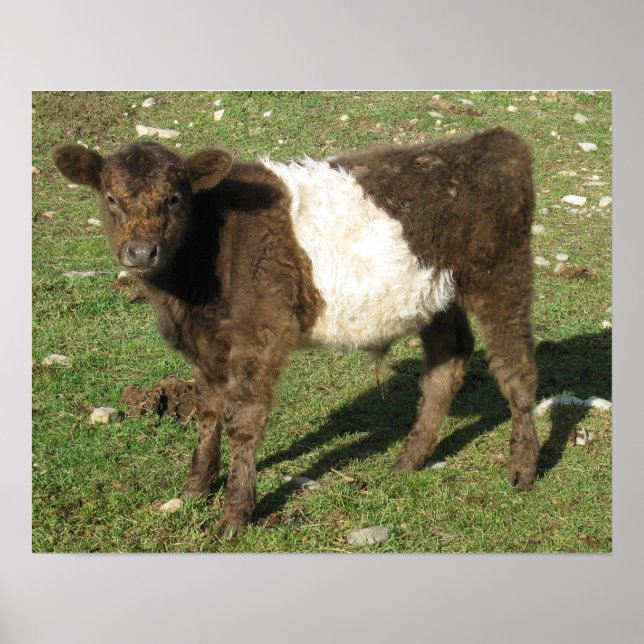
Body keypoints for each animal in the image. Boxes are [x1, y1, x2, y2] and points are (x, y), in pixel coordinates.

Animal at [53, 126, 539, 538]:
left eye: (174, 198)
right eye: (111, 198)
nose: (140, 252)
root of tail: (493, 140)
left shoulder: (264, 332)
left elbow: (243, 421)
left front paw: (234, 514)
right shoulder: (207, 346)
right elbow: (208, 412)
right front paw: (195, 489)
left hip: (502, 276)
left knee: (516, 368)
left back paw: (524, 469)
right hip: (436, 294)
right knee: (447, 363)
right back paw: (408, 461)